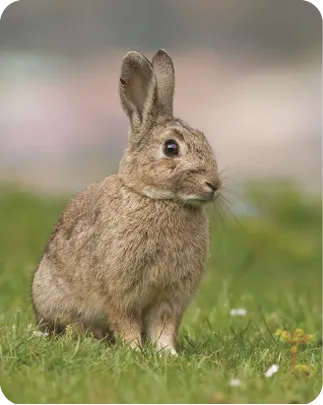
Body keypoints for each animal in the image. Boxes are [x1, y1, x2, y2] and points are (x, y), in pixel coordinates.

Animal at [31, 49, 221, 354]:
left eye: (204, 139)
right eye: (171, 148)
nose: (213, 185)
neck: (159, 199)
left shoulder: (170, 299)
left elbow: (164, 328)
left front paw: (168, 354)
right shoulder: (121, 292)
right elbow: (126, 321)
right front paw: (135, 351)